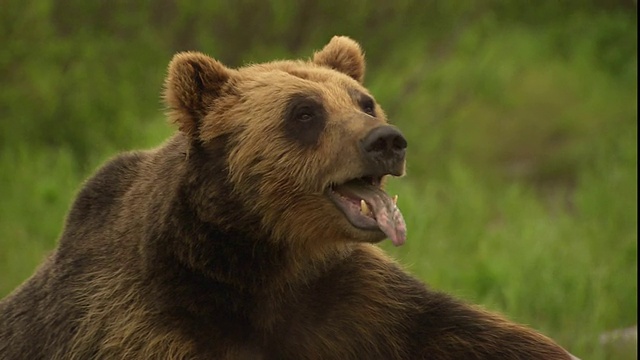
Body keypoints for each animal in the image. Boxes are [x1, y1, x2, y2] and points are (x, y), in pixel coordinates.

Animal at [0, 35, 580, 358]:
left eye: (364, 102)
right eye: (304, 112)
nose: (386, 141)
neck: (267, 263)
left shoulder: (354, 304)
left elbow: (469, 334)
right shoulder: (144, 319)